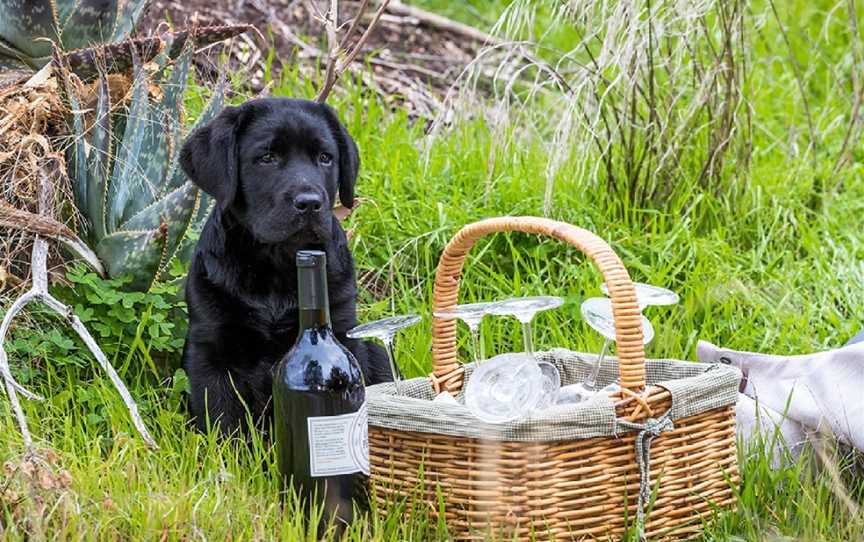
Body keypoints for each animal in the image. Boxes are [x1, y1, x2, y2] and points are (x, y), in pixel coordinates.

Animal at [181, 98, 390, 438]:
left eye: (325, 158)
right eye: (267, 158)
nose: (310, 203)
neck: (276, 266)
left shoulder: (344, 332)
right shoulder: (210, 348)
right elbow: (223, 422)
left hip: (376, 351)